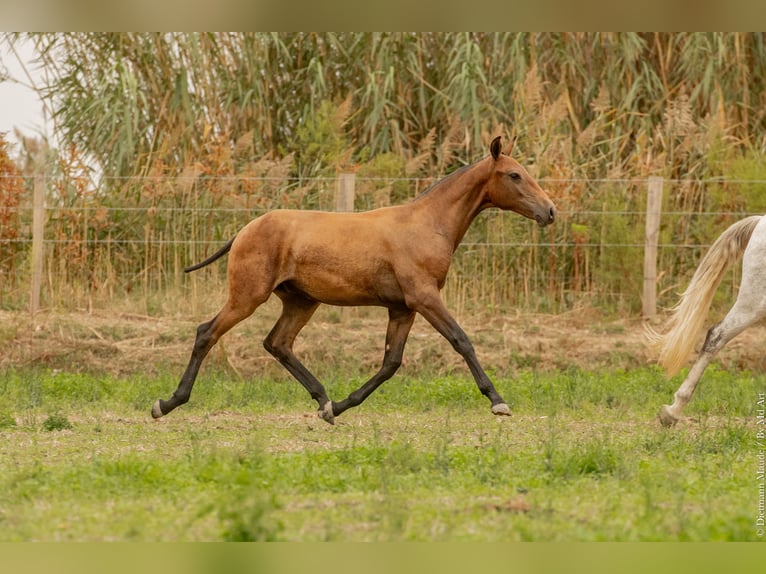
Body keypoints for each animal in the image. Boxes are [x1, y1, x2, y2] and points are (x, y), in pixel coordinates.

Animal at [153, 137, 556, 426]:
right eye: (514, 175)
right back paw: (167, 403)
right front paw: (498, 402)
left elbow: (390, 363)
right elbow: (462, 341)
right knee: (207, 333)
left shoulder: (402, 308)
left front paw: (341, 406)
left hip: (301, 301)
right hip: (248, 295)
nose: (550, 211)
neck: (427, 224)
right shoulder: (425, 298)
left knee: (278, 343)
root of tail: (244, 230)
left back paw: (323, 400)